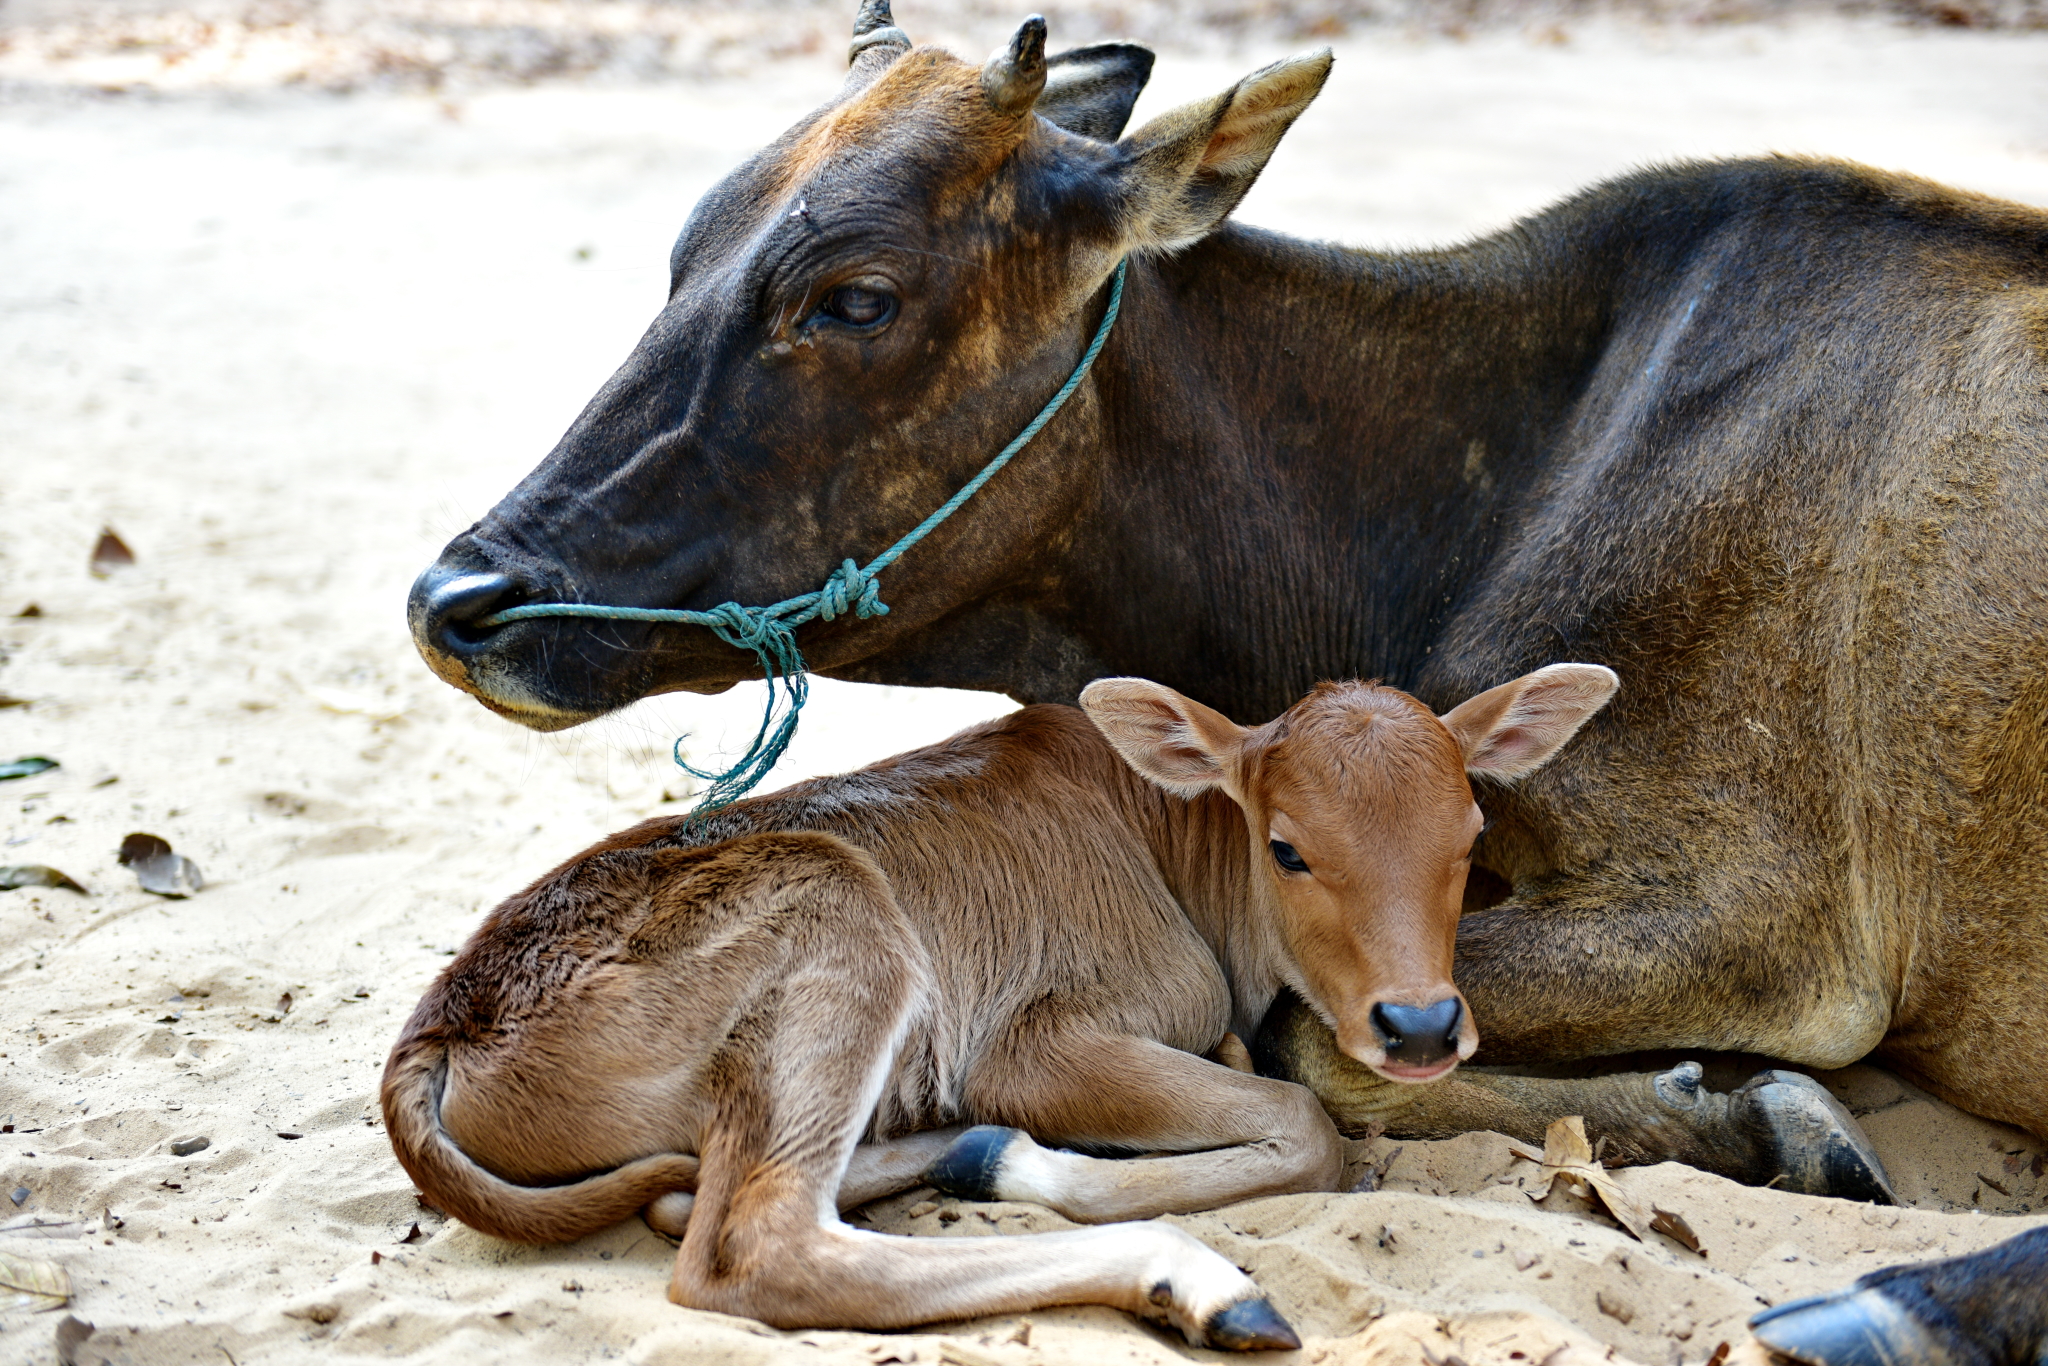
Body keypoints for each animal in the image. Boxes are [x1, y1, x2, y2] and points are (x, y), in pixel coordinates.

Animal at [376, 663, 1605, 1343]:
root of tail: (441, 1023)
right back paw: (1193, 1278)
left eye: (1470, 834)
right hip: (838, 922)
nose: (1420, 1026)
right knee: (755, 1245)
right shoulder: (1036, 1042)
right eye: (1287, 846)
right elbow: (1309, 1125)